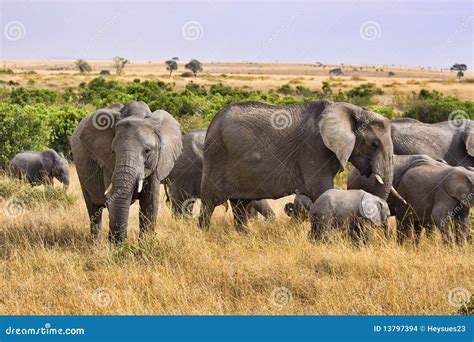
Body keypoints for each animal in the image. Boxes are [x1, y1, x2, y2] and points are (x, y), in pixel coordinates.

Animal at [72, 100, 183, 242]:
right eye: (113, 151)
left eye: (147, 151)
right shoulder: (107, 163)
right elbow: (113, 199)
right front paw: (118, 246)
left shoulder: (157, 163)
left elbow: (150, 203)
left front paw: (146, 244)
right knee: (93, 208)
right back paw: (95, 243)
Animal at [199, 99, 396, 232]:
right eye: (374, 144)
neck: (351, 110)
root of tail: (211, 124)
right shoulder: (313, 149)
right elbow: (321, 190)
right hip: (216, 156)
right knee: (209, 203)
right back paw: (204, 233)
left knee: (240, 205)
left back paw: (244, 235)